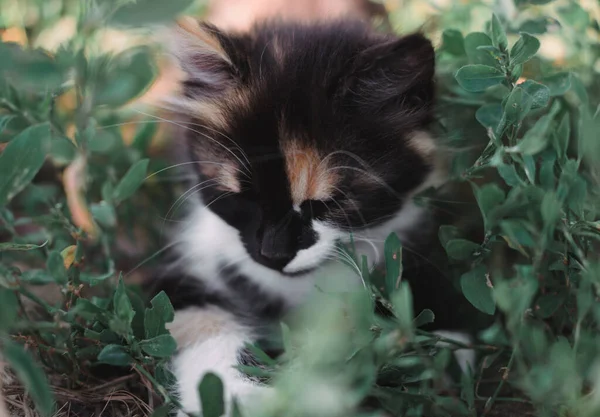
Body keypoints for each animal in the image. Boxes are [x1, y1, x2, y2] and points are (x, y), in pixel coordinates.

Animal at [150, 17, 442, 414]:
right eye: (243, 198)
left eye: (330, 204)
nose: (273, 254)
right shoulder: (188, 272)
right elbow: (206, 325)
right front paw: (243, 397)